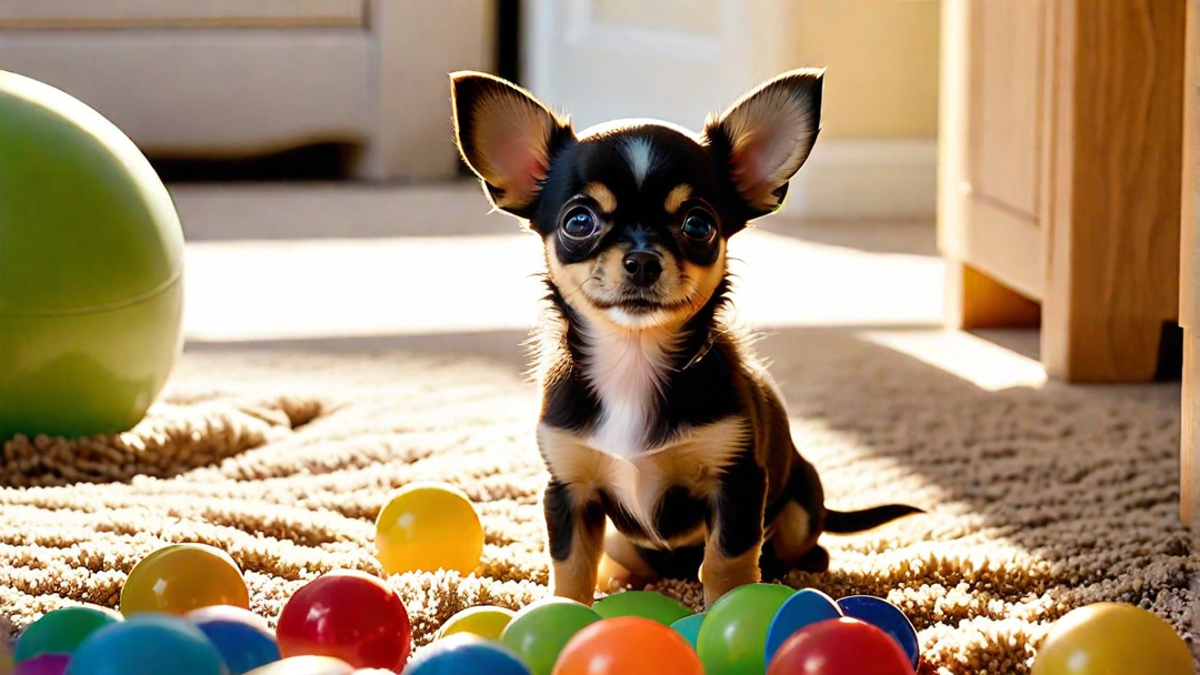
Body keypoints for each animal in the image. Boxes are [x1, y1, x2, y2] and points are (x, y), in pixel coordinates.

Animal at [451, 68, 916, 605]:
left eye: (698, 224)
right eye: (578, 221)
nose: (642, 259)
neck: (632, 360)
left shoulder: (736, 483)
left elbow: (725, 562)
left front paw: (730, 607)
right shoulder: (568, 489)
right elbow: (571, 564)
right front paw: (563, 610)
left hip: (799, 501)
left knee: (806, 544)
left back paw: (793, 569)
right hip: (623, 538)